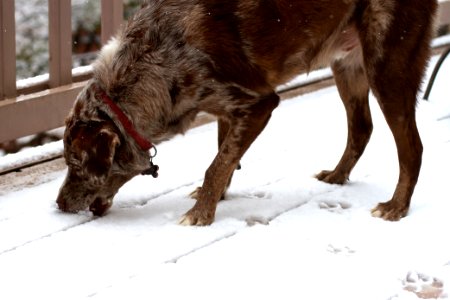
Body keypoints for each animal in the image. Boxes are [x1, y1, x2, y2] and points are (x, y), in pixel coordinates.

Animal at [55, 0, 436, 225]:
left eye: (76, 165)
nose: (58, 204)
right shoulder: (228, 111)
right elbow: (225, 158)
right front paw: (214, 198)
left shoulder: (258, 104)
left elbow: (217, 164)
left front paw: (200, 215)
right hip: (347, 65)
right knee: (361, 128)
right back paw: (337, 175)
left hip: (386, 67)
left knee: (412, 147)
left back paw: (396, 206)